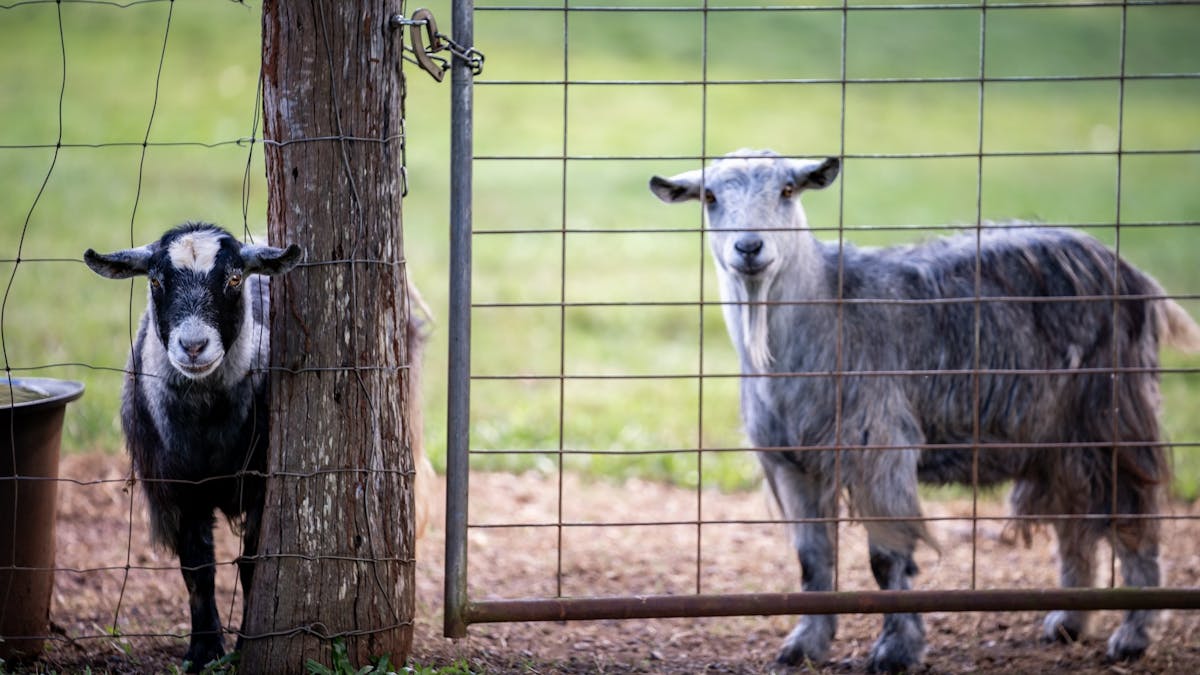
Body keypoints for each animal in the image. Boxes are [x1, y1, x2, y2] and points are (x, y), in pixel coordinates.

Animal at [85, 223, 301, 671]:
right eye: (155, 281)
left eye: (235, 279)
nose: (194, 346)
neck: (208, 426)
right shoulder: (180, 488)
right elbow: (197, 568)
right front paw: (204, 652)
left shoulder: (261, 485)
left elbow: (252, 563)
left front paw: (244, 647)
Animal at [650, 150, 1200, 673]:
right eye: (710, 197)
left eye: (787, 189)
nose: (749, 248)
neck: (827, 308)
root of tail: (1132, 274)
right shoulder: (792, 463)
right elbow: (813, 559)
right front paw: (803, 646)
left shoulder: (880, 448)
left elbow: (887, 559)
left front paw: (896, 650)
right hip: (1055, 436)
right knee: (1074, 520)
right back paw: (1068, 622)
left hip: (1111, 416)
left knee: (1134, 519)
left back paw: (1132, 636)